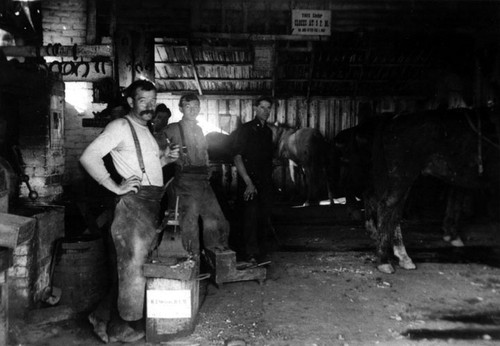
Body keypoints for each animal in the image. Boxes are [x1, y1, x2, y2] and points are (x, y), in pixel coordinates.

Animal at [364, 108, 500, 274]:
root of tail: (394, 117)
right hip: (402, 175)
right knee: (386, 207)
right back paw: (384, 260)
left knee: (394, 211)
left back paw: (403, 257)